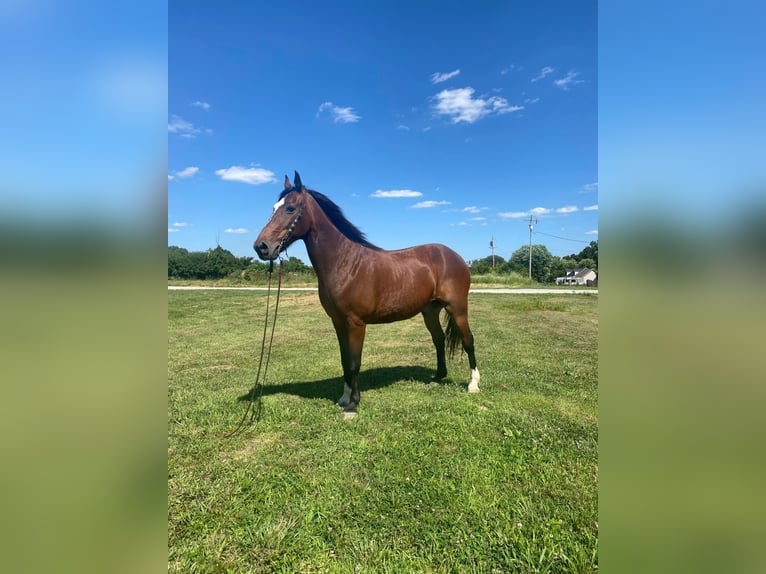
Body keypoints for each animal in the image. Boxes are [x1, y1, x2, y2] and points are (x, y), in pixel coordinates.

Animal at [256, 172, 480, 418]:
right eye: (274, 207)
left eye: (290, 208)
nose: (262, 247)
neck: (345, 263)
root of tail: (454, 256)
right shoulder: (338, 322)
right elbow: (344, 360)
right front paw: (343, 398)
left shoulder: (356, 323)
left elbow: (354, 362)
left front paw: (353, 405)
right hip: (430, 310)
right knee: (439, 340)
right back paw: (437, 378)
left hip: (457, 308)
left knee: (468, 340)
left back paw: (473, 384)